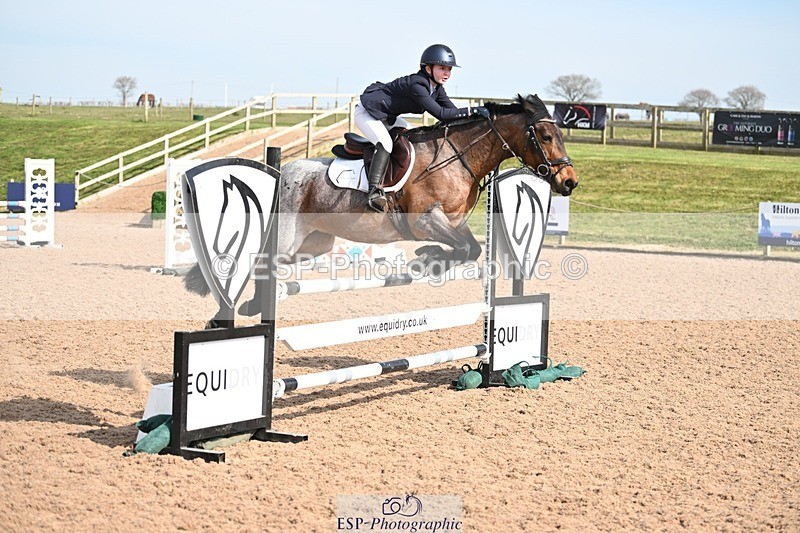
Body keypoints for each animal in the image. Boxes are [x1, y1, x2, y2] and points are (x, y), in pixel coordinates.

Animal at [185, 93, 578, 325]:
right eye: (545, 136)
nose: (569, 182)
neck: (459, 156)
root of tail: (282, 173)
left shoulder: (453, 222)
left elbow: (469, 248)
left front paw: (429, 259)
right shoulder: (424, 219)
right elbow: (465, 248)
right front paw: (425, 258)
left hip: (312, 245)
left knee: (267, 267)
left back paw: (250, 306)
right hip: (286, 239)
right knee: (259, 264)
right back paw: (229, 314)